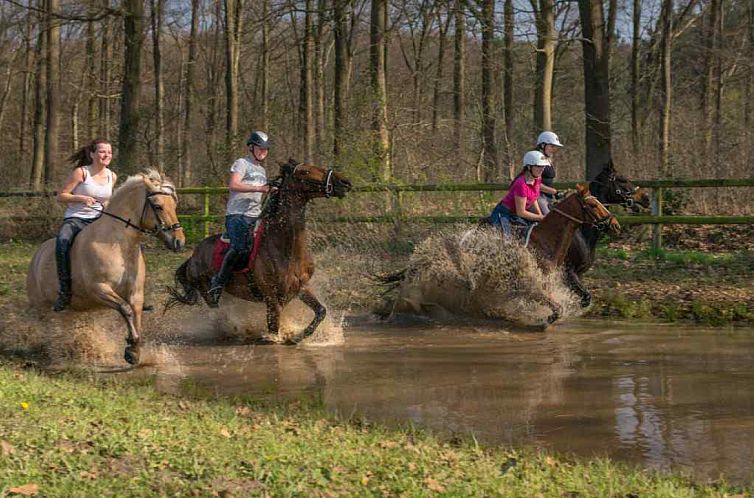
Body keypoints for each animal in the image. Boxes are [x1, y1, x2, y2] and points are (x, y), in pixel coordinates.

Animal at [27, 171, 185, 366]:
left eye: (174, 205)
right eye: (158, 206)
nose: (179, 242)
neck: (117, 244)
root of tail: (36, 256)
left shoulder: (136, 292)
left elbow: (136, 313)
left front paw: (135, 351)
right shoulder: (99, 289)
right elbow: (125, 309)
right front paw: (131, 347)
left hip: (72, 308)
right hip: (42, 306)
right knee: (46, 327)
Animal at [164, 158, 350, 344]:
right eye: (305, 172)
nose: (344, 182)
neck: (285, 248)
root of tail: (193, 257)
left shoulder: (302, 287)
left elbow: (321, 311)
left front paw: (297, 337)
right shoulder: (272, 298)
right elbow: (274, 329)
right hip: (206, 290)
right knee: (218, 312)